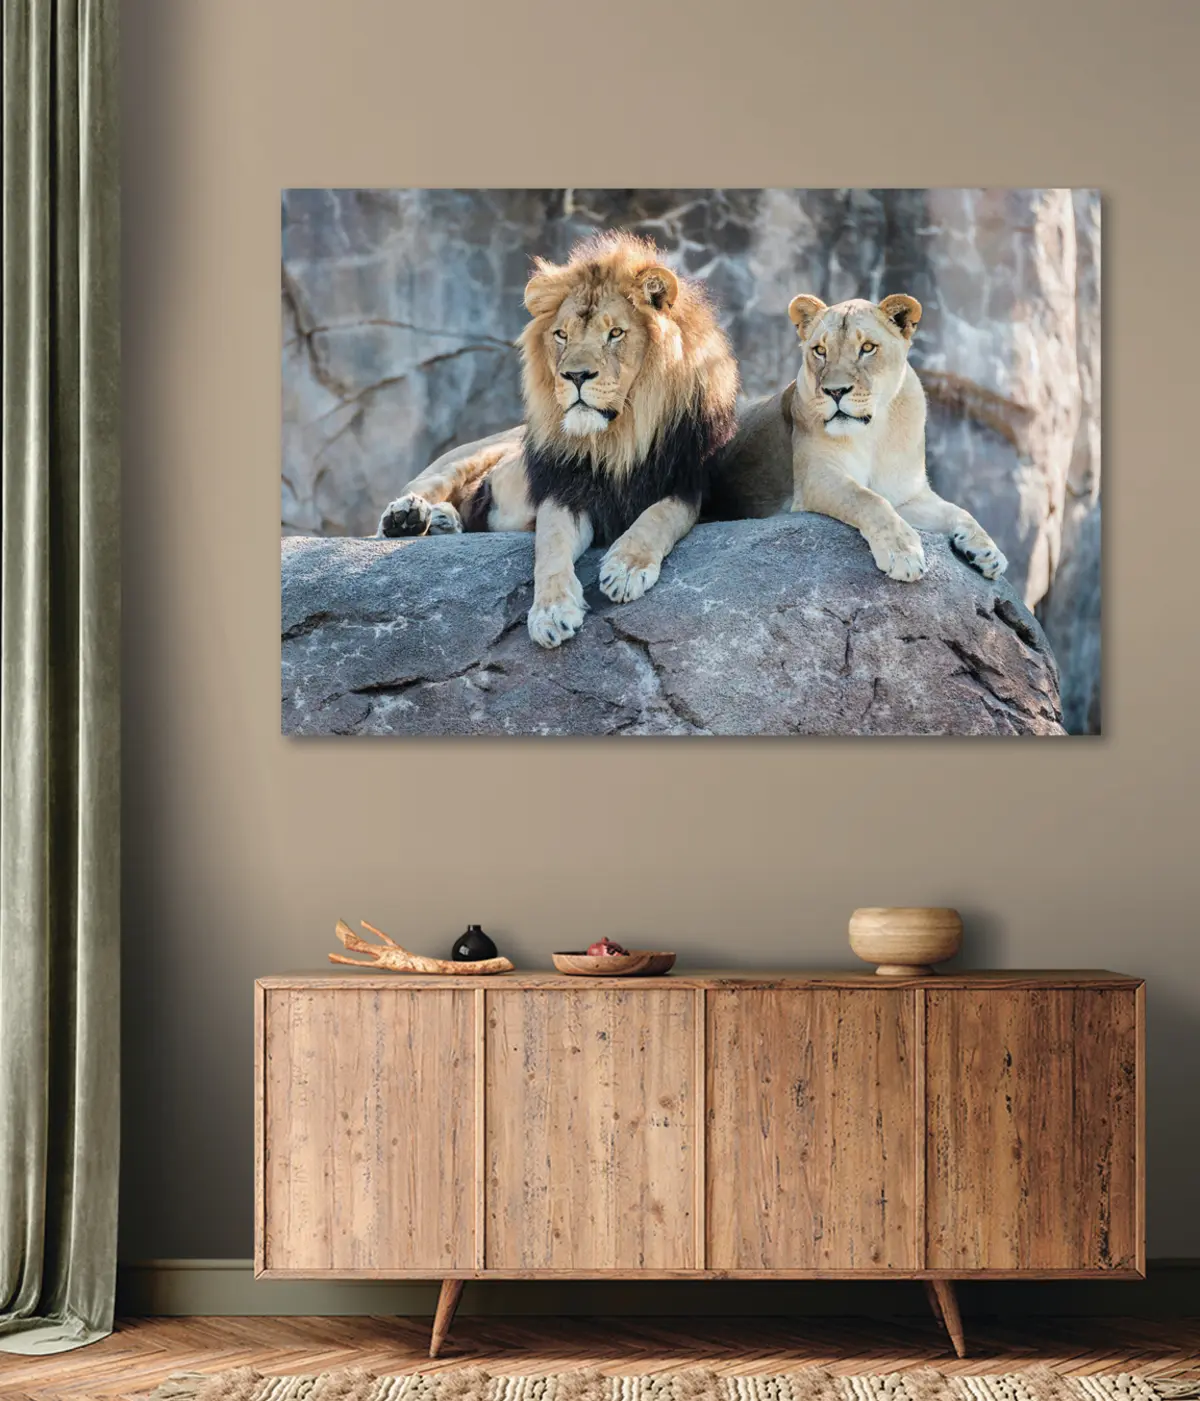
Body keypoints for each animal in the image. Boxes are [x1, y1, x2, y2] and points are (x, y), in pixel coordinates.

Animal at [376, 233, 739, 648]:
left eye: (615, 333)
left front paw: (626, 568)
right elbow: (550, 546)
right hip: (466, 457)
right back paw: (407, 517)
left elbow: (658, 517)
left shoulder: (689, 485)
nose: (575, 375)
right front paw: (551, 612)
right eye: (561, 335)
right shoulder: (564, 490)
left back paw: (441, 521)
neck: (617, 438)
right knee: (418, 492)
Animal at [706, 293, 1007, 582]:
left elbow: (958, 511)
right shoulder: (816, 477)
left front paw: (988, 551)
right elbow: (867, 499)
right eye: (820, 351)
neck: (874, 433)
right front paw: (903, 553)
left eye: (867, 348)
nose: (835, 391)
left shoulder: (906, 494)